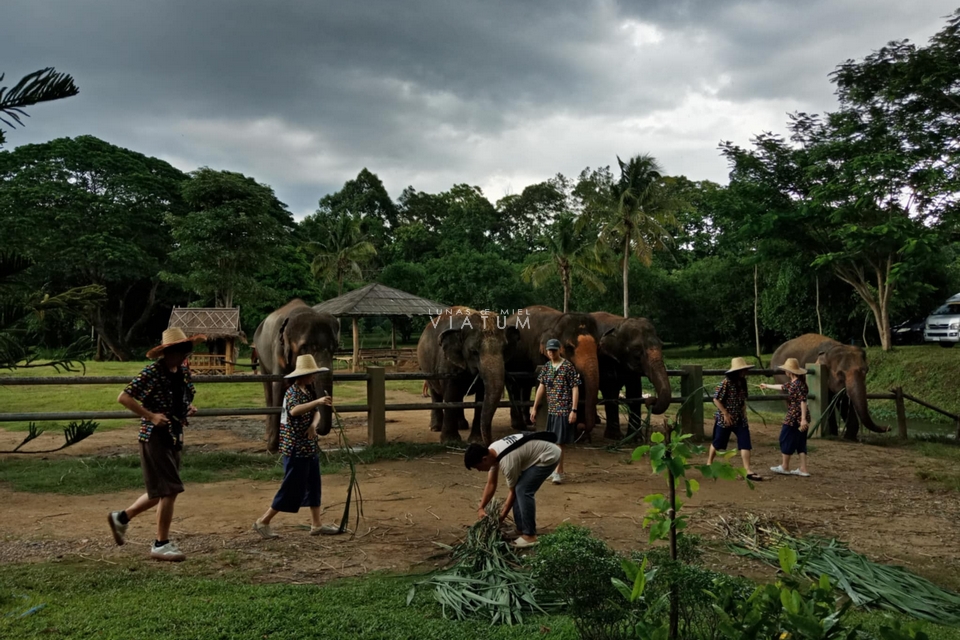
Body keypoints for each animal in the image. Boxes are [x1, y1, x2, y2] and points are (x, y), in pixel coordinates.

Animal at [251, 298, 342, 452]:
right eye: (304, 347)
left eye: (335, 347)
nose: (318, 428)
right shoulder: (278, 350)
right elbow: (280, 386)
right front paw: (273, 448)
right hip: (260, 353)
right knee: (268, 389)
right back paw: (267, 438)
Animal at [418, 308, 520, 442]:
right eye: (474, 352)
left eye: (504, 349)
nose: (491, 442)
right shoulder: (447, 364)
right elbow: (451, 394)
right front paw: (450, 440)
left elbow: (481, 397)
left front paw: (476, 441)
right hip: (427, 368)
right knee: (436, 393)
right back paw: (435, 428)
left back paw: (462, 425)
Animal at [502, 304, 600, 436]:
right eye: (569, 347)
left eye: (597, 346)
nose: (582, 427)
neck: (556, 322)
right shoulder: (538, 352)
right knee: (514, 387)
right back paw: (519, 425)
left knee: (525, 386)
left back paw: (528, 422)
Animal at [588, 312, 672, 440]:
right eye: (636, 349)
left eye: (662, 345)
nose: (651, 400)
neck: (618, 324)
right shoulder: (604, 358)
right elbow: (610, 388)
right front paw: (615, 437)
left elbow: (634, 390)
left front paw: (635, 439)